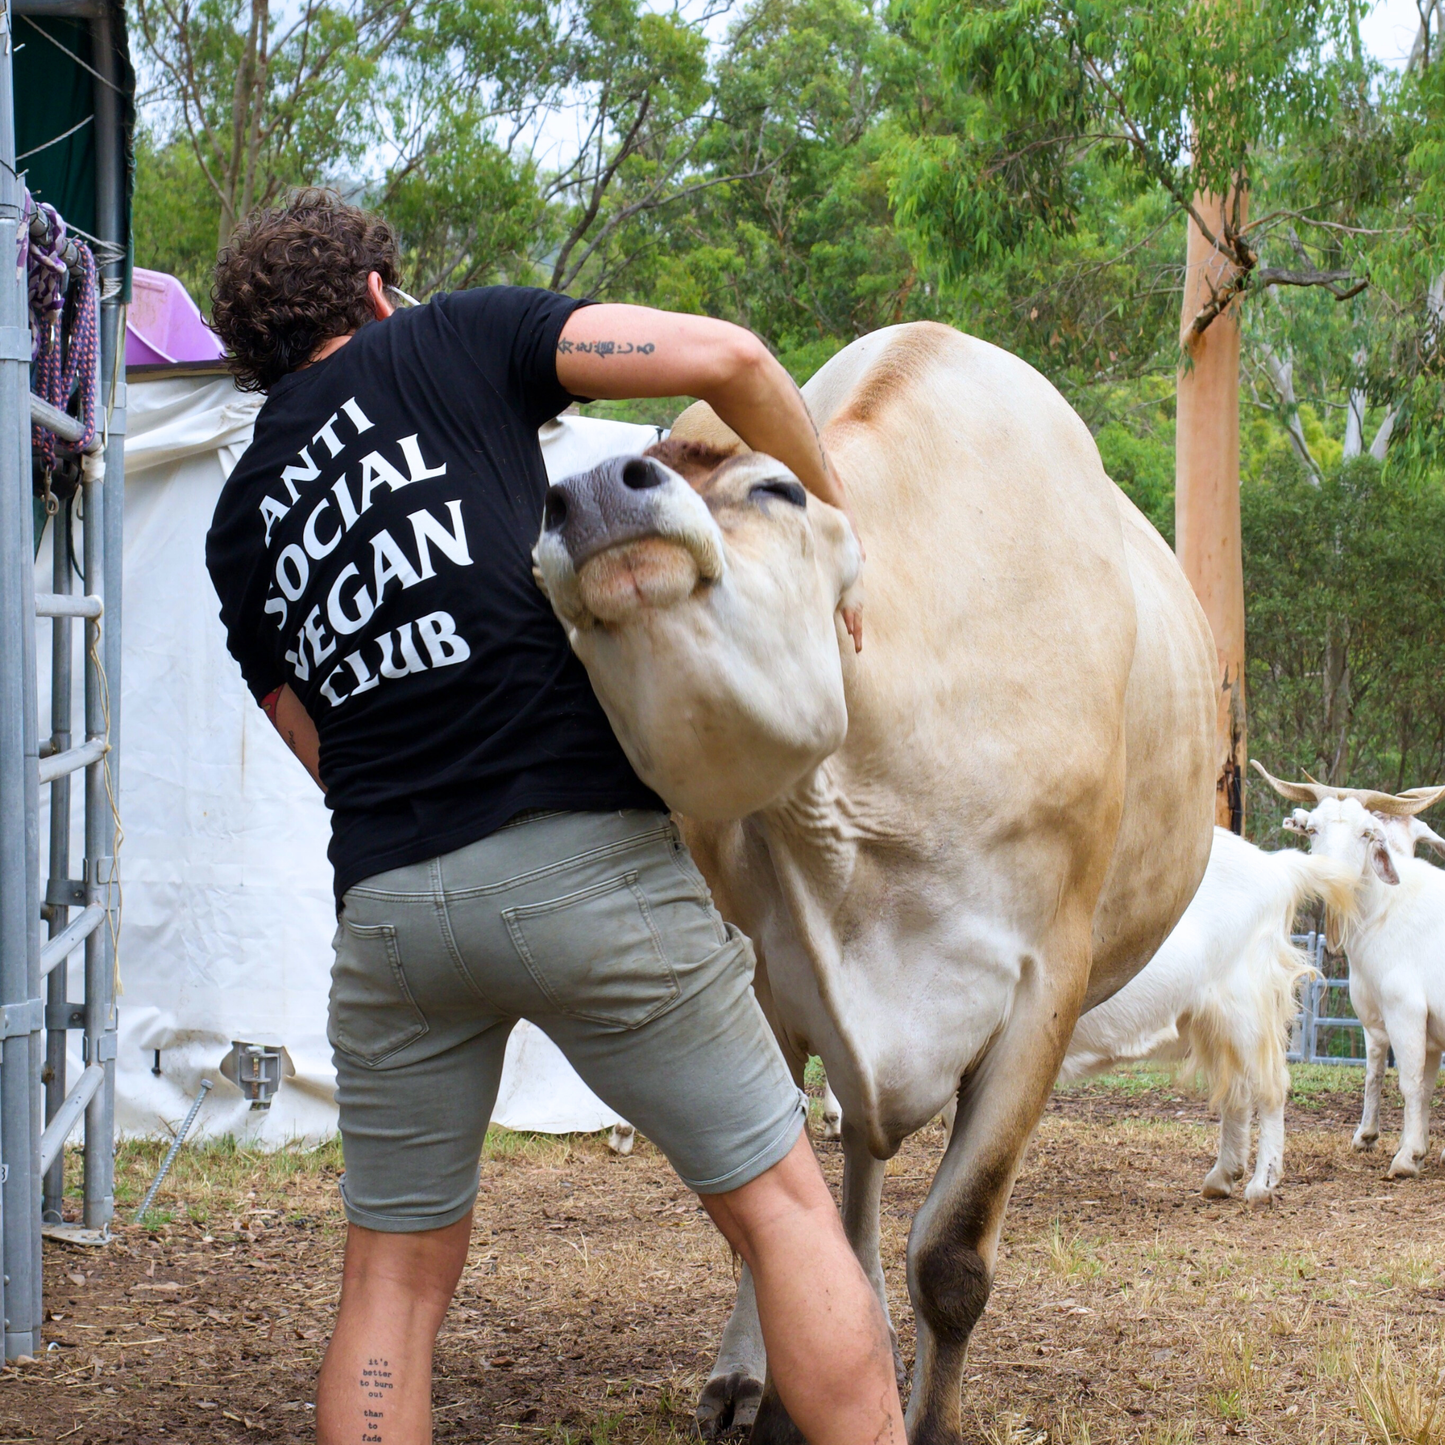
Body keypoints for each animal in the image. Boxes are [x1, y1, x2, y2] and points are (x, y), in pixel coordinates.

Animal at [534, 322, 1217, 1445]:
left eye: (776, 490)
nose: (589, 486)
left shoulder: (1048, 980)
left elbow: (950, 1254)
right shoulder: (759, 976)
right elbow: (778, 1222)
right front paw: (774, 1394)